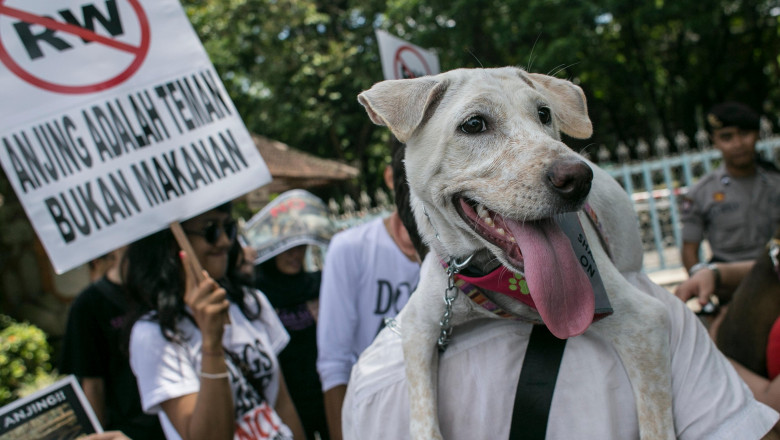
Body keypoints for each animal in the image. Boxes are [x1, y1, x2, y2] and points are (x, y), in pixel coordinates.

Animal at [360, 67, 676, 438]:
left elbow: (656, 425)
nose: (579, 178)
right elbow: (422, 418)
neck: (493, 273)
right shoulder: (417, 323)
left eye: (544, 114)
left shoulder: (644, 322)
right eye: (473, 124)